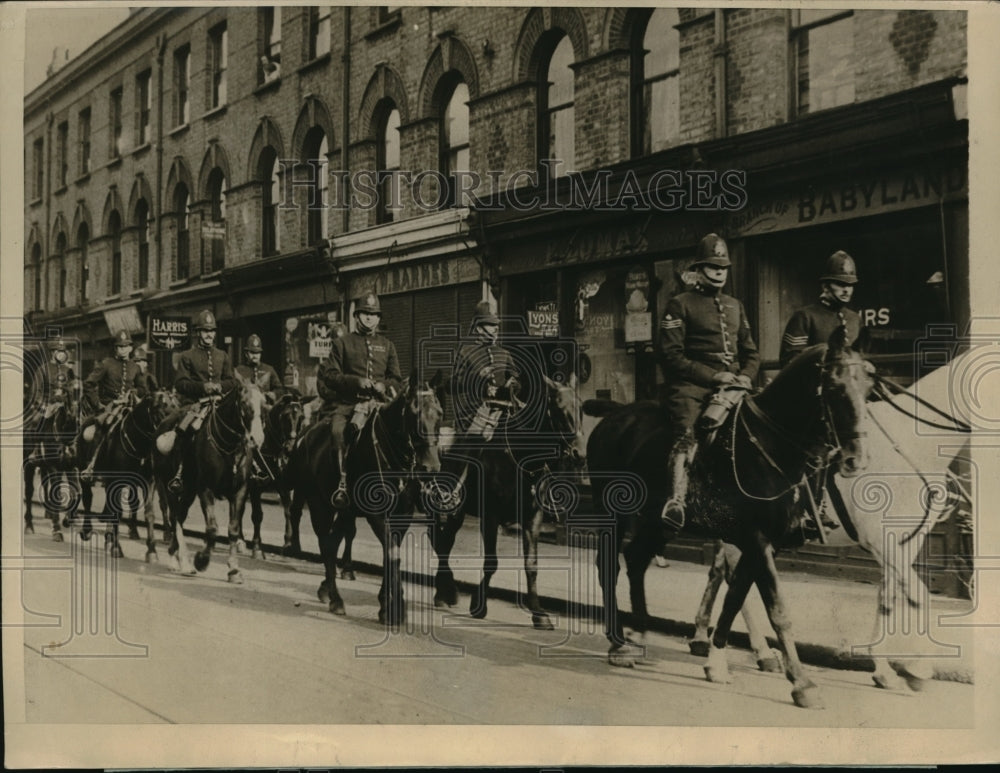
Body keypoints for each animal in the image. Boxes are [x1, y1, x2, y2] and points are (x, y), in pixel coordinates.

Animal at [153, 382, 266, 584]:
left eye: (264, 403)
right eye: (244, 403)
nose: (257, 439)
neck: (229, 447)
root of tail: (164, 424)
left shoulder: (239, 491)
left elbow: (233, 530)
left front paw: (234, 570)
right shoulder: (206, 489)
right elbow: (212, 529)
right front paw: (201, 560)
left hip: (189, 491)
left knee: (180, 515)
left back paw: (178, 557)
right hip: (171, 487)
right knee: (175, 518)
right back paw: (181, 561)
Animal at [288, 370, 448, 624]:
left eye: (440, 413)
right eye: (414, 413)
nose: (430, 466)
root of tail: (306, 435)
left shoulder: (403, 514)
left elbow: (390, 553)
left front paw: (387, 604)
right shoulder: (376, 514)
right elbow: (392, 554)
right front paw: (395, 609)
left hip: (345, 512)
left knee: (333, 542)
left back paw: (327, 590)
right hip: (319, 505)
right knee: (325, 544)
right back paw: (336, 599)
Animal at [428, 374, 584, 628]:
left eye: (581, 408)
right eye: (559, 409)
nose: (580, 455)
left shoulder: (533, 519)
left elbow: (532, 565)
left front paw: (539, 613)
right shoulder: (490, 517)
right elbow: (491, 562)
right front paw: (478, 605)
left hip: (455, 512)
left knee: (443, 541)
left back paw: (445, 593)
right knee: (441, 543)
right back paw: (446, 593)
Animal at [584, 328, 872, 708]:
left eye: (868, 387)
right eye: (836, 387)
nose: (856, 458)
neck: (771, 445)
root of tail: (616, 414)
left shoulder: (764, 542)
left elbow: (735, 597)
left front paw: (717, 662)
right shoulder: (758, 539)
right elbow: (777, 610)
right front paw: (803, 682)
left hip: (657, 521)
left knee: (636, 558)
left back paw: (639, 630)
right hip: (612, 514)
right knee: (609, 565)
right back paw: (618, 642)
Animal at [692, 350, 972, 688]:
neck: (909, 443)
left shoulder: (906, 541)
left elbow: (889, 597)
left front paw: (884, 671)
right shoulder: (881, 540)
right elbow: (918, 595)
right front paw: (918, 669)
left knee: (727, 573)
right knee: (737, 579)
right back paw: (746, 652)